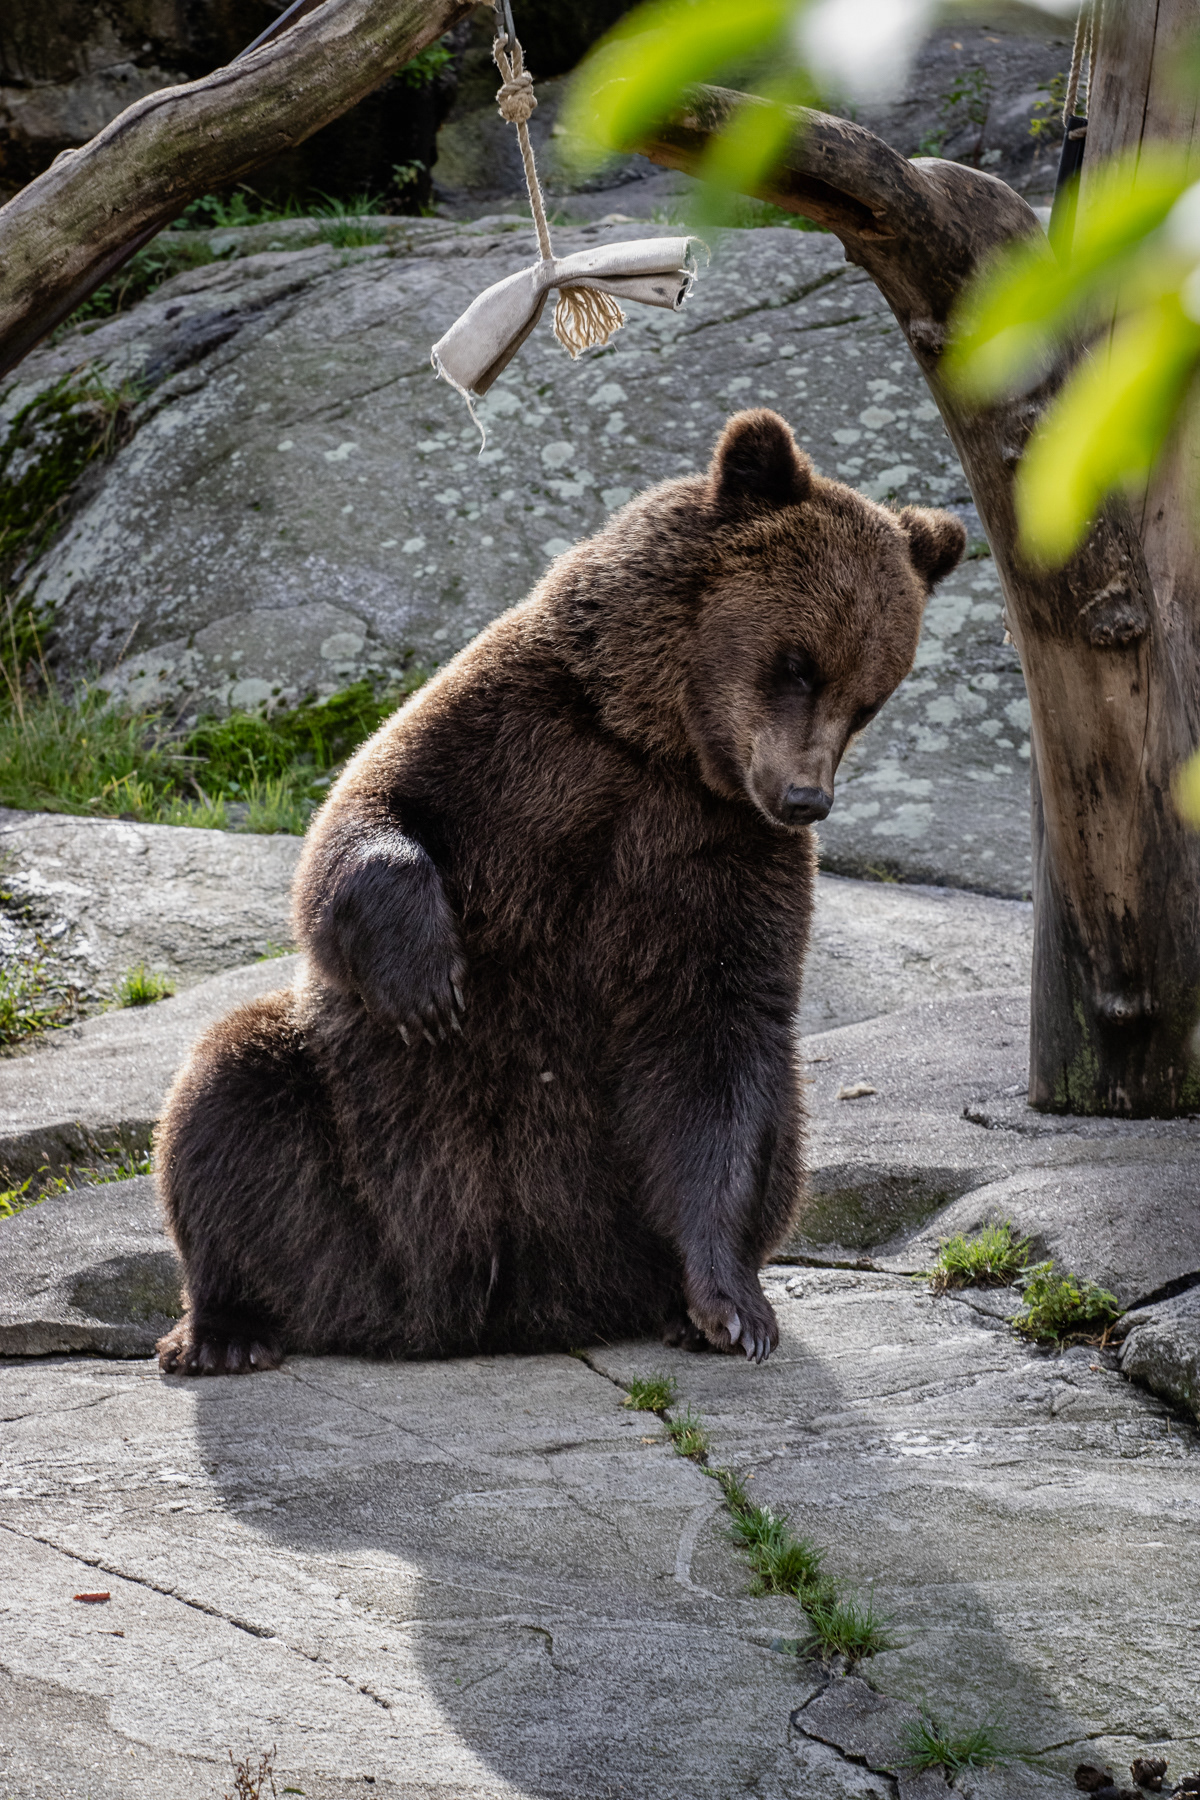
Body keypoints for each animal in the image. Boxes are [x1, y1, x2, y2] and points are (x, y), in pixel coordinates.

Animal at [155, 409, 965, 1378]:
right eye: (798, 663)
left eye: (871, 694)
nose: (807, 796)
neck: (657, 742)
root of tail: (490, 1312)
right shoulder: (517, 740)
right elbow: (359, 820)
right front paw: (428, 984)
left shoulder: (725, 859)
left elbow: (719, 1055)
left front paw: (731, 1308)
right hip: (348, 1150)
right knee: (231, 1098)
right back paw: (224, 1328)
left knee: (780, 1127)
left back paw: (670, 1309)